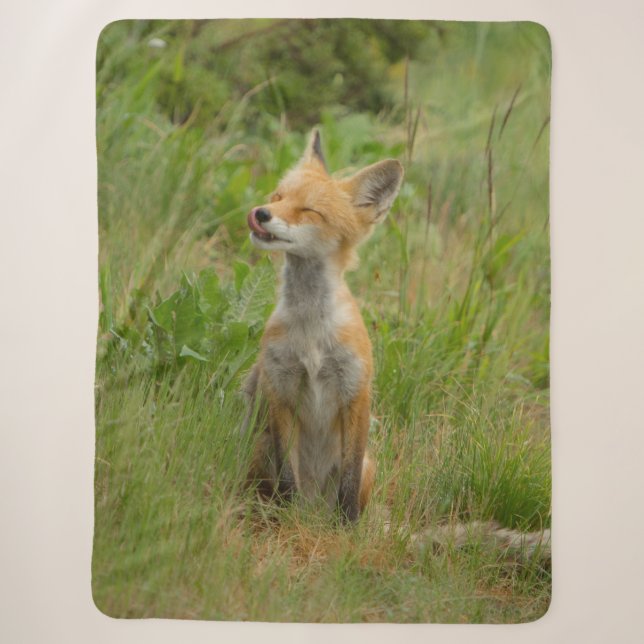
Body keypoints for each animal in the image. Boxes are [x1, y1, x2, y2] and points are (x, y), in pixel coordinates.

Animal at [241, 129, 403, 522]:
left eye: (309, 211)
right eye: (278, 197)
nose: (261, 213)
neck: (311, 331)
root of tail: (315, 503)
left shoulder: (355, 390)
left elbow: (349, 479)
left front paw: (347, 528)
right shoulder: (280, 387)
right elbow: (288, 475)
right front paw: (288, 519)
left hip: (370, 467)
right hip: (260, 449)